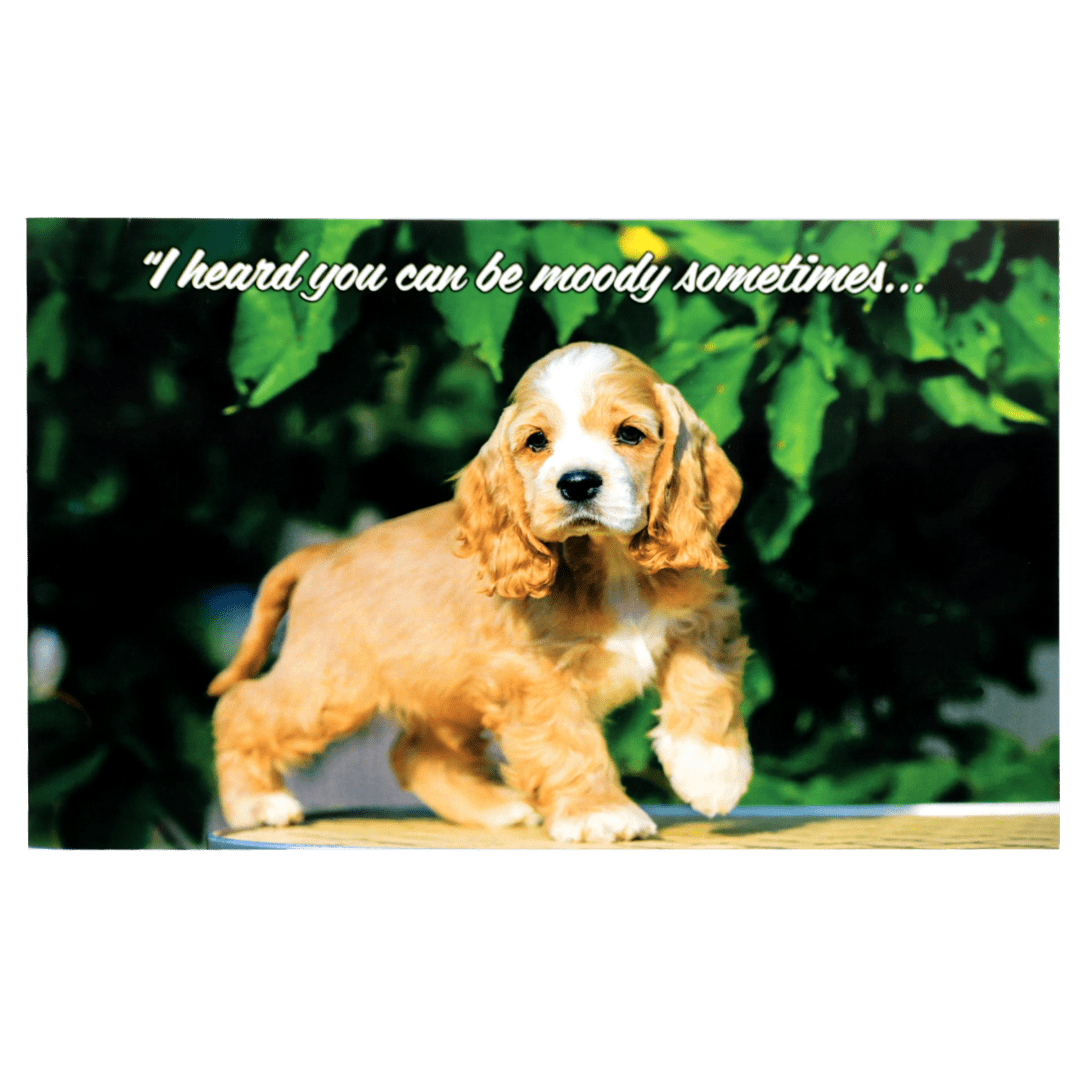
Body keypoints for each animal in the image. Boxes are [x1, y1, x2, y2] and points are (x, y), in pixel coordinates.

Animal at [210, 341, 751, 838]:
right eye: (536, 442)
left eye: (630, 434)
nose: (577, 483)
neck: (611, 564)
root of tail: (323, 552)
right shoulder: (535, 675)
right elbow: (568, 742)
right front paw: (599, 812)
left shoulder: (707, 615)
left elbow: (706, 683)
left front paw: (712, 770)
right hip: (328, 685)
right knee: (240, 708)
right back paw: (256, 803)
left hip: (442, 689)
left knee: (415, 754)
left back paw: (496, 808)